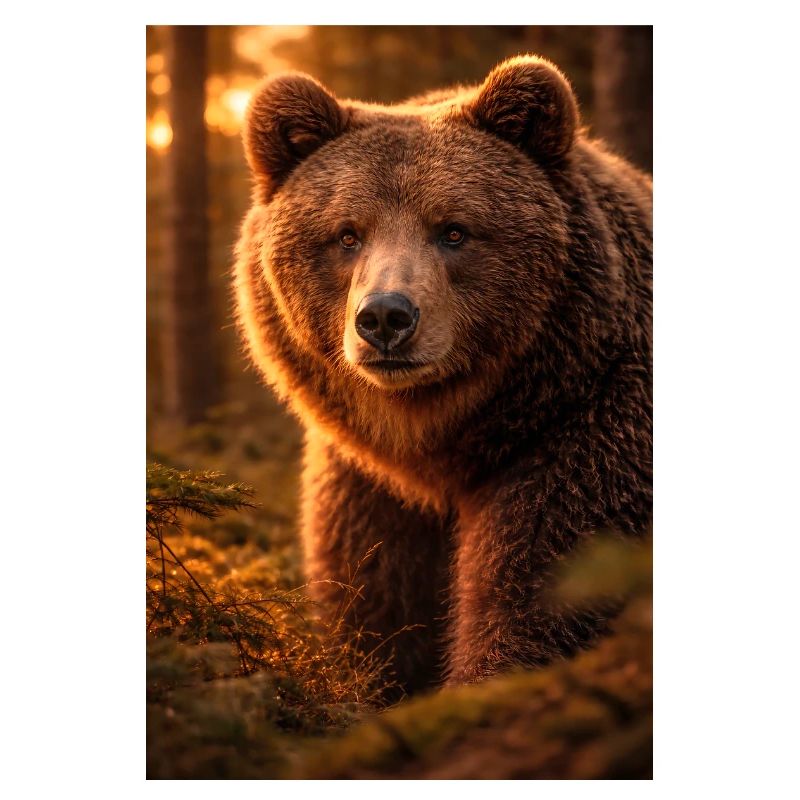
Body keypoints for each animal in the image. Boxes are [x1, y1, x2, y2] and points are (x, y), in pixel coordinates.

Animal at [233, 55, 652, 692]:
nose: (385, 317)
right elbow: (375, 606)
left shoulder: (588, 435)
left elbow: (541, 596)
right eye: (347, 234)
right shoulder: (369, 488)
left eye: (453, 229)